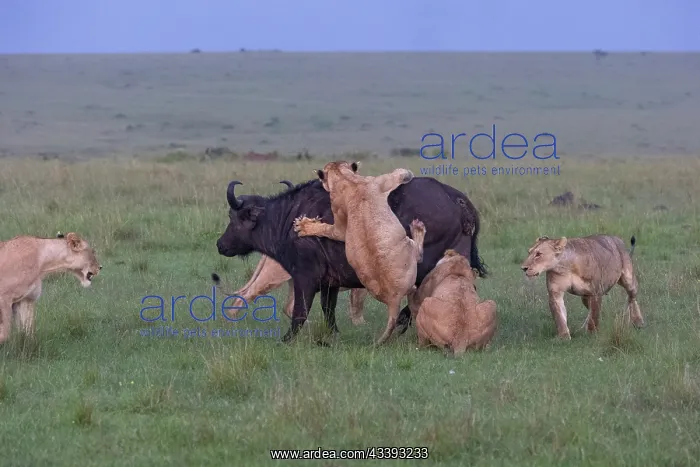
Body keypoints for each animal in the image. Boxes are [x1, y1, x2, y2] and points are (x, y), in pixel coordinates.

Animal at [211, 254, 368, 325]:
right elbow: (358, 305)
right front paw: (360, 325)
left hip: (295, 283)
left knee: (288, 307)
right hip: (272, 278)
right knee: (245, 296)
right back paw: (232, 321)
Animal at [293, 161, 426, 345]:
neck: (345, 178)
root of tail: (393, 300)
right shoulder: (377, 184)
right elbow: (396, 175)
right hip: (408, 246)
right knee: (419, 255)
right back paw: (418, 228)